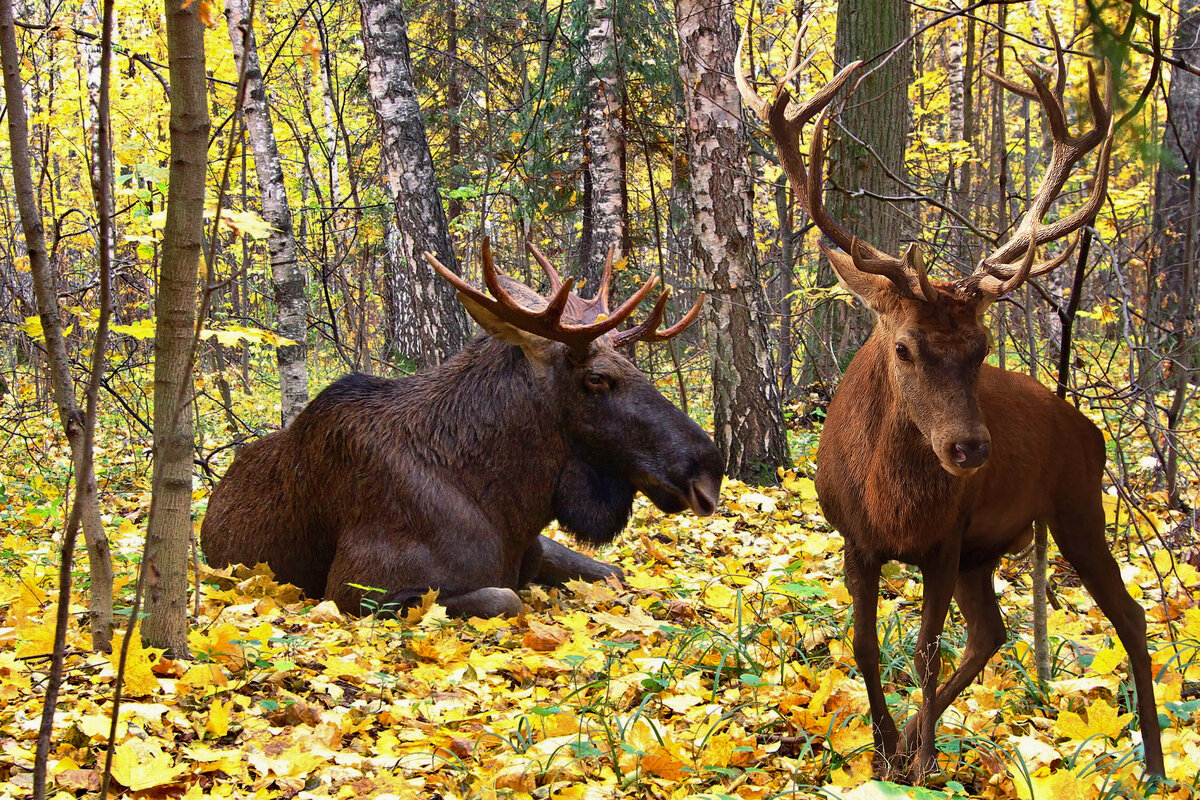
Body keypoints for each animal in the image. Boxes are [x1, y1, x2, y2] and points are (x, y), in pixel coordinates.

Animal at [200, 242, 720, 618]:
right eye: (596, 378)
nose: (709, 471)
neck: (505, 502)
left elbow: (614, 573)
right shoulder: (355, 589)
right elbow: (507, 598)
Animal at [734, 26, 1166, 782]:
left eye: (984, 344)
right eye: (906, 347)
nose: (970, 448)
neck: (891, 503)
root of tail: (1087, 428)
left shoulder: (946, 539)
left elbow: (925, 651)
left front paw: (925, 767)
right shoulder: (859, 542)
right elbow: (867, 647)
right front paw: (883, 752)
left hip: (1074, 506)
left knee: (1129, 616)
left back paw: (1157, 764)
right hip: (988, 551)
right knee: (994, 631)